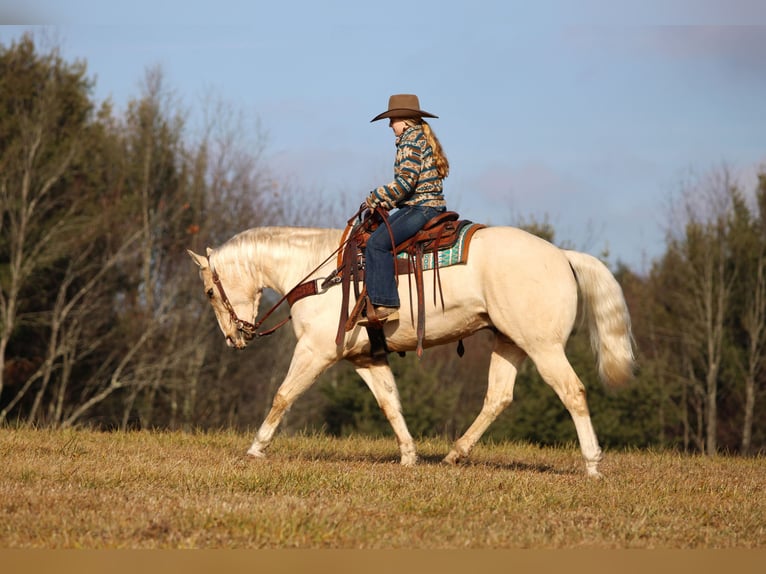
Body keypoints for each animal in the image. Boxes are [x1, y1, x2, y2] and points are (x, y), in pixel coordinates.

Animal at [187, 224, 634, 477]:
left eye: (209, 291)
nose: (234, 338)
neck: (321, 275)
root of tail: (562, 256)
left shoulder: (315, 351)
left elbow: (284, 395)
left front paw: (256, 447)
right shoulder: (366, 357)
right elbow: (390, 403)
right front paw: (409, 455)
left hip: (543, 347)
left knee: (573, 392)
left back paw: (592, 464)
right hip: (510, 343)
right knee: (498, 397)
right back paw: (455, 455)